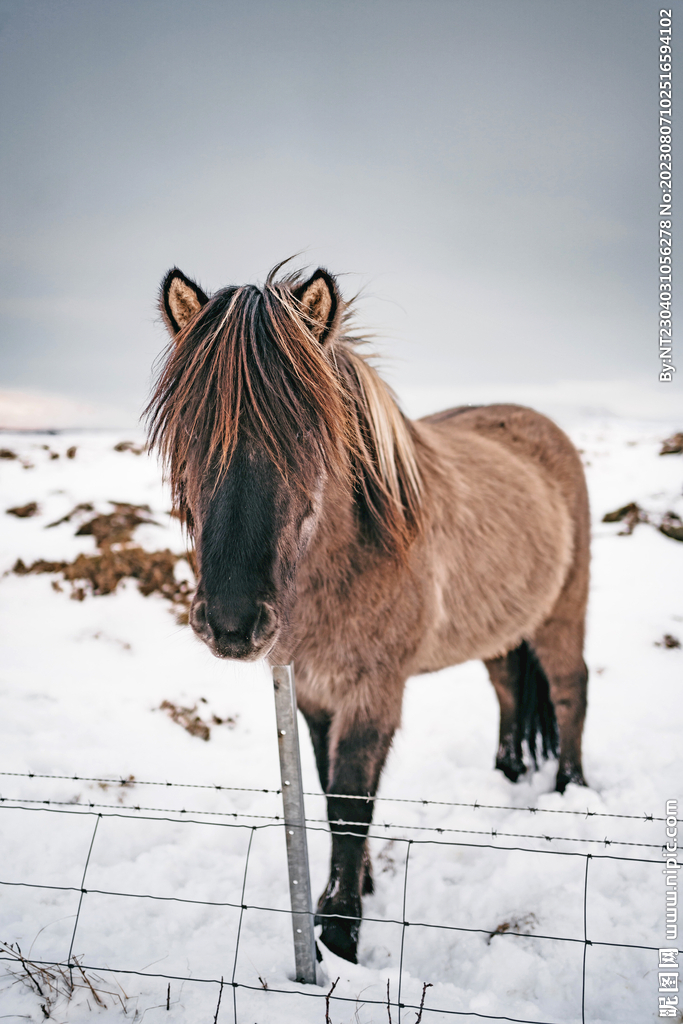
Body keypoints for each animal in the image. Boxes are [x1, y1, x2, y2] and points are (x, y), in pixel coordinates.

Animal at [146, 263, 590, 964]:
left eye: (305, 434)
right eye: (190, 429)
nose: (232, 623)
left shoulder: (372, 690)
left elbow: (353, 800)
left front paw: (340, 932)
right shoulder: (313, 692)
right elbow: (329, 791)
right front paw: (355, 887)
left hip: (562, 613)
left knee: (572, 690)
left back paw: (570, 793)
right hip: (500, 632)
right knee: (507, 690)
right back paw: (507, 772)